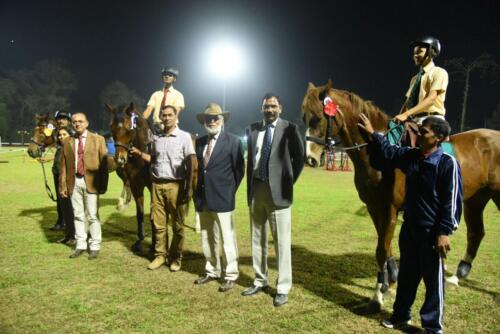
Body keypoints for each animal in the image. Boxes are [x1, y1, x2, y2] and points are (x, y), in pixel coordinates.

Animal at [300, 79, 500, 310]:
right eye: (303, 117)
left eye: (318, 116)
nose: (310, 159)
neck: (379, 153)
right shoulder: (374, 208)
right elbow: (385, 249)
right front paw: (391, 282)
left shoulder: (389, 208)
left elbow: (381, 249)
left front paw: (378, 294)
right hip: (475, 199)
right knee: (476, 233)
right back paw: (457, 275)